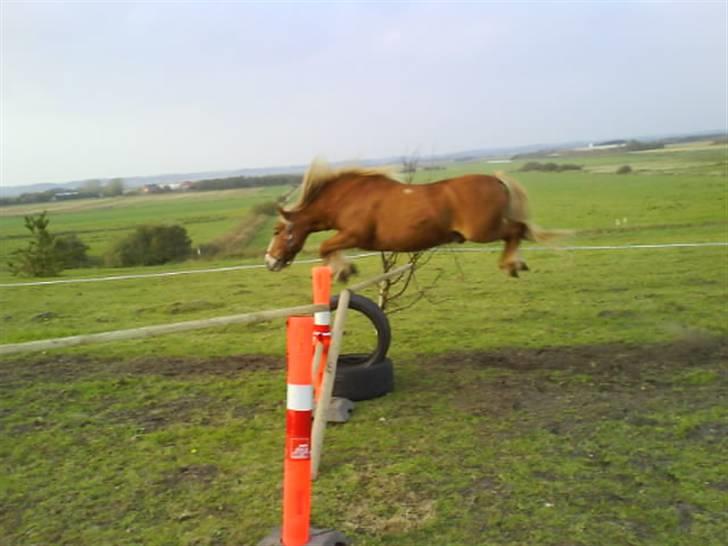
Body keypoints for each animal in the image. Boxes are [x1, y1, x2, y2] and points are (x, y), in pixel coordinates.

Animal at [265, 158, 558, 282]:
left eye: (277, 231)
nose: (269, 261)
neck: (347, 197)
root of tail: (495, 179)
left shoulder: (355, 235)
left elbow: (325, 247)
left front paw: (343, 271)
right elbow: (327, 248)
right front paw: (343, 269)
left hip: (483, 231)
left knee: (517, 230)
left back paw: (511, 265)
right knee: (518, 231)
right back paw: (516, 263)